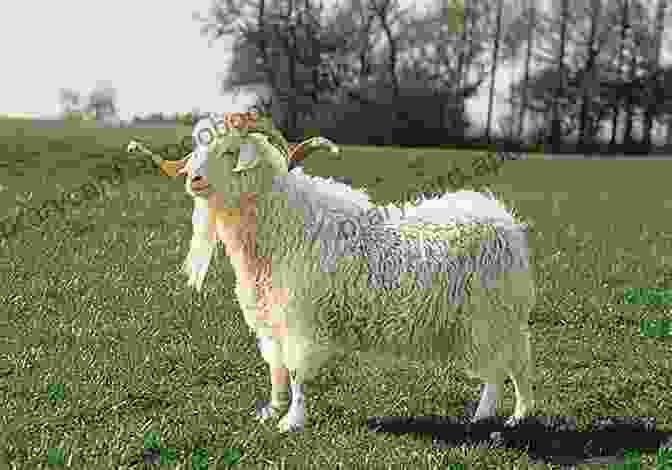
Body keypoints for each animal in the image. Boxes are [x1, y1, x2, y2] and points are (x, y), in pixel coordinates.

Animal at [134, 113, 540, 434]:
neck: (280, 226)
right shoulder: (271, 318)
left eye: (230, 151)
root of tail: (506, 223)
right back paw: (507, 416)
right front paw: (271, 412)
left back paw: (495, 417)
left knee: (503, 368)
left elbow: (297, 373)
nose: (194, 180)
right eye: (198, 150)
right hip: (497, 319)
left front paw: (292, 422)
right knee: (511, 364)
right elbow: (276, 368)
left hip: (488, 317)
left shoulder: (301, 320)